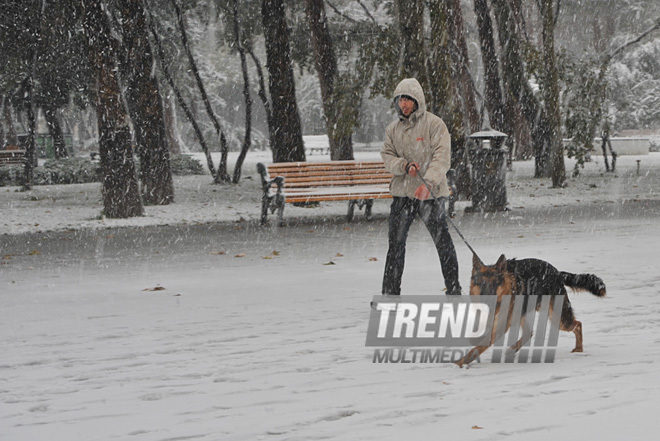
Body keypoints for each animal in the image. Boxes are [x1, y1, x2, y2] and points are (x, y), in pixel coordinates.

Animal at [456, 253, 604, 366]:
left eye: (495, 284)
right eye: (481, 284)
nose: (487, 302)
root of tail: (557, 272)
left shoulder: (501, 325)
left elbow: (478, 347)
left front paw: (459, 363)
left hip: (558, 319)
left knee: (578, 325)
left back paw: (579, 349)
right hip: (523, 312)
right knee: (529, 333)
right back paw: (513, 349)